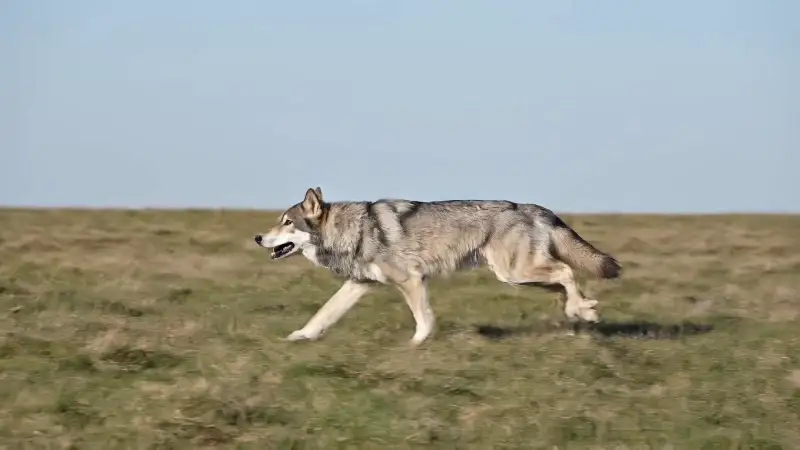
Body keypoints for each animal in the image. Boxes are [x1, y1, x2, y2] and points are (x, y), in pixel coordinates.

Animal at [254, 187, 621, 346]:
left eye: (287, 222)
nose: (258, 237)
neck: (353, 230)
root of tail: (529, 205)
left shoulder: (411, 280)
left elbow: (424, 319)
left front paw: (416, 345)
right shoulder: (360, 285)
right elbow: (323, 315)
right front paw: (300, 336)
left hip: (515, 274)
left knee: (567, 273)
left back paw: (582, 311)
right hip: (520, 277)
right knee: (564, 284)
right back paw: (581, 313)